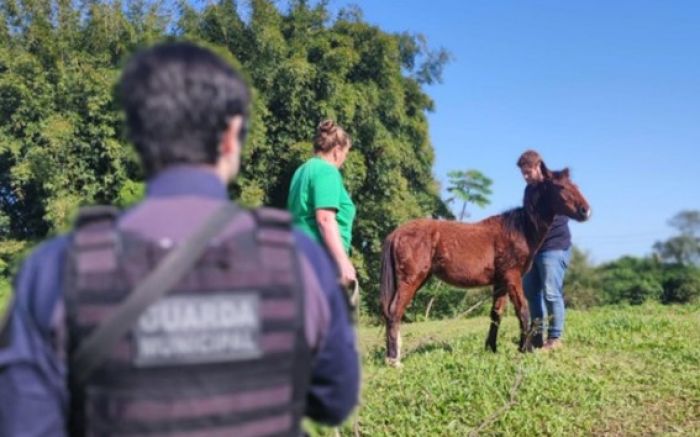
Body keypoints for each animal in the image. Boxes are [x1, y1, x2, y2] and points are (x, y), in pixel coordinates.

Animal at [380, 162, 588, 366]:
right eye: (560, 186)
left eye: (575, 185)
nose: (585, 210)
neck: (519, 230)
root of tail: (397, 233)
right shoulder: (512, 277)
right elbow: (522, 310)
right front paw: (525, 349)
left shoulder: (501, 282)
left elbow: (496, 314)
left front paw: (492, 349)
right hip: (411, 279)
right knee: (395, 311)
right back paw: (394, 360)